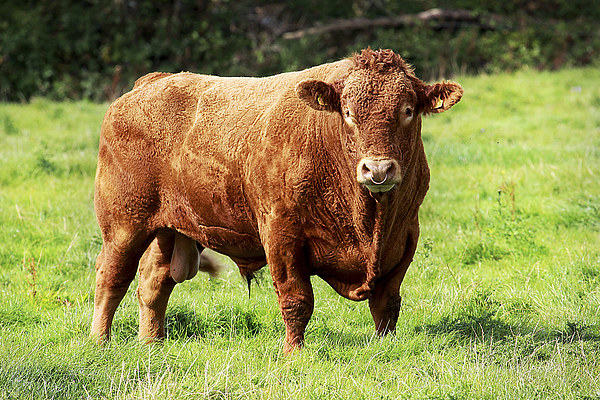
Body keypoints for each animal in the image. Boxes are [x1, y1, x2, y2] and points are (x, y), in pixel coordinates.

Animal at [91, 48, 462, 352]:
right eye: (347, 112)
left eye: (408, 110)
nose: (378, 169)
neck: (368, 220)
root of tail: (152, 81)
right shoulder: (281, 235)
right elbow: (297, 300)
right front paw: (293, 353)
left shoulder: (405, 237)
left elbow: (386, 304)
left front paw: (385, 347)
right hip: (124, 224)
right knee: (111, 277)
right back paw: (100, 341)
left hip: (170, 228)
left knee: (153, 281)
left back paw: (151, 341)